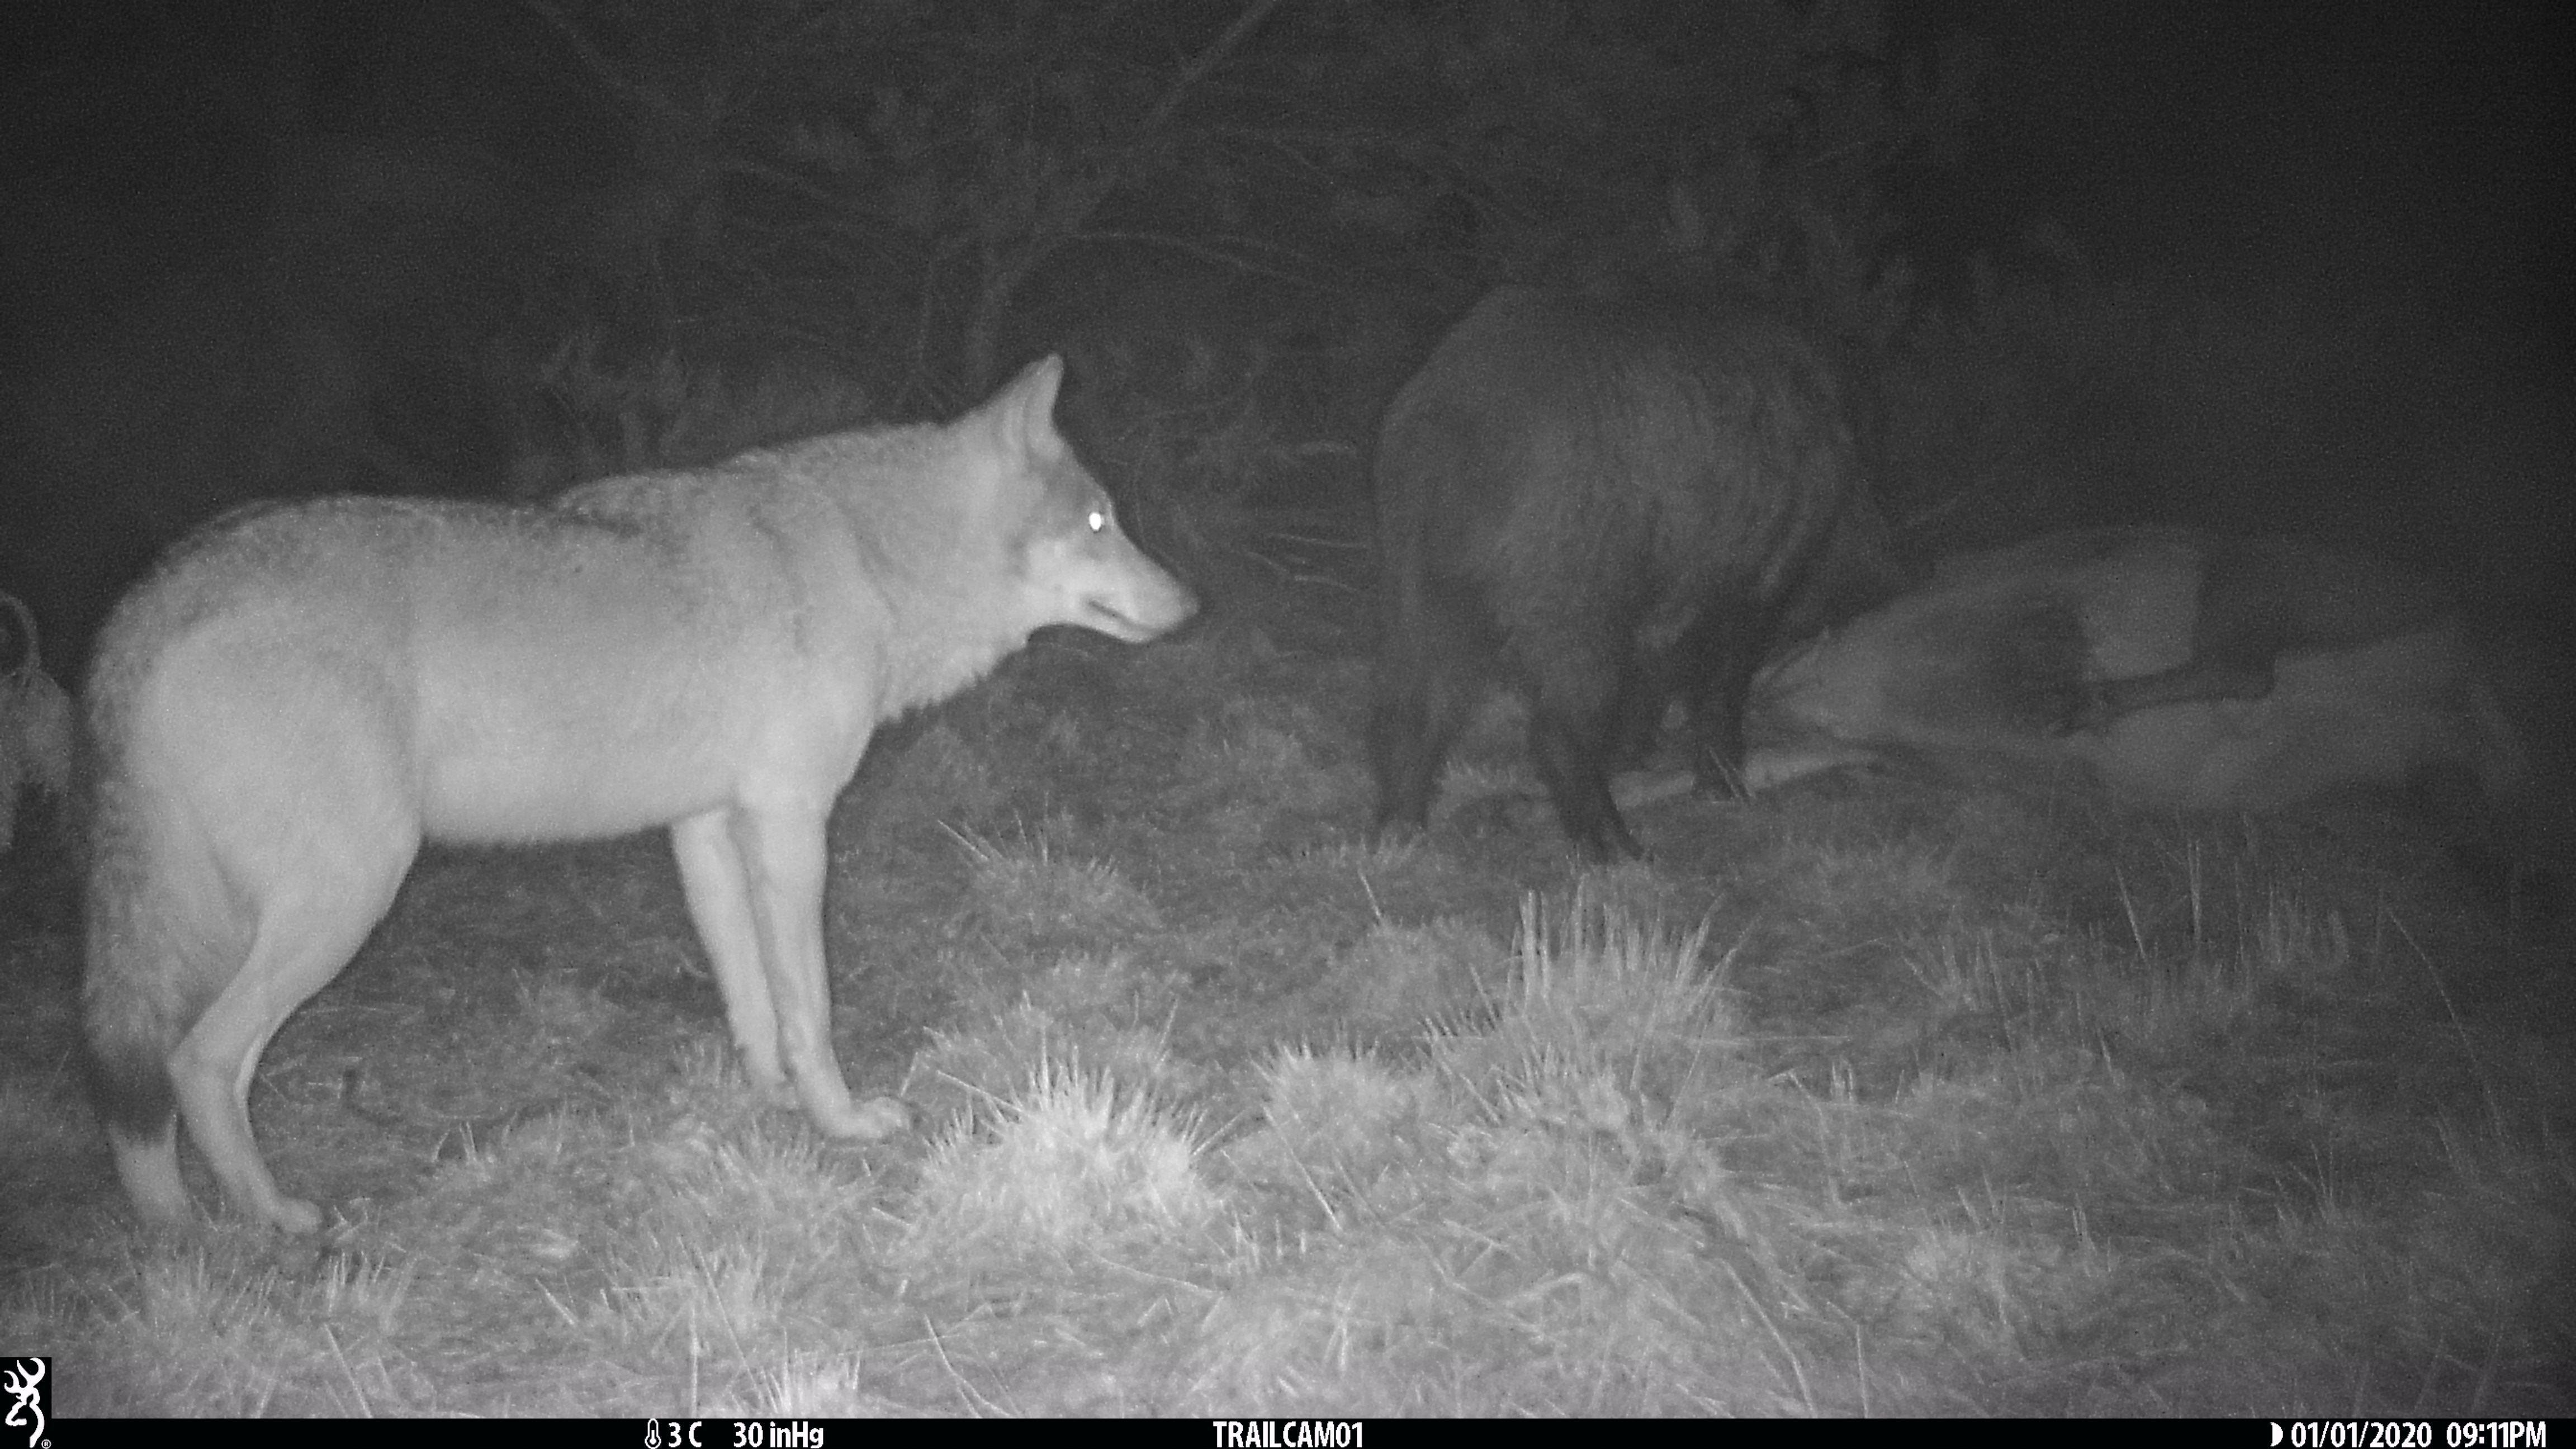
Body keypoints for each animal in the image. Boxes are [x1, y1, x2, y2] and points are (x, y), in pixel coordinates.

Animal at [82, 355, 1197, 1232]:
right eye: (1099, 521)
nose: (1191, 604)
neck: (868, 556)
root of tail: (150, 599)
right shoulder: (791, 825)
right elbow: (811, 1005)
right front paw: (841, 1122)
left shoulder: (705, 829)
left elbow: (751, 999)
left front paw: (766, 1103)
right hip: (342, 902)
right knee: (198, 1063)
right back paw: (271, 1219)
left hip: (245, 918)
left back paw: (178, 1233)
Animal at [1369, 285, 1877, 858]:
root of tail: (1456, 417)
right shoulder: (1753, 582)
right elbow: (1721, 683)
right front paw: (1724, 790)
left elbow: (1656, 678)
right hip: (1571, 591)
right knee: (1557, 726)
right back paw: (1621, 849)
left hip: (1413, 573)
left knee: (1414, 700)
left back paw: (1398, 831)